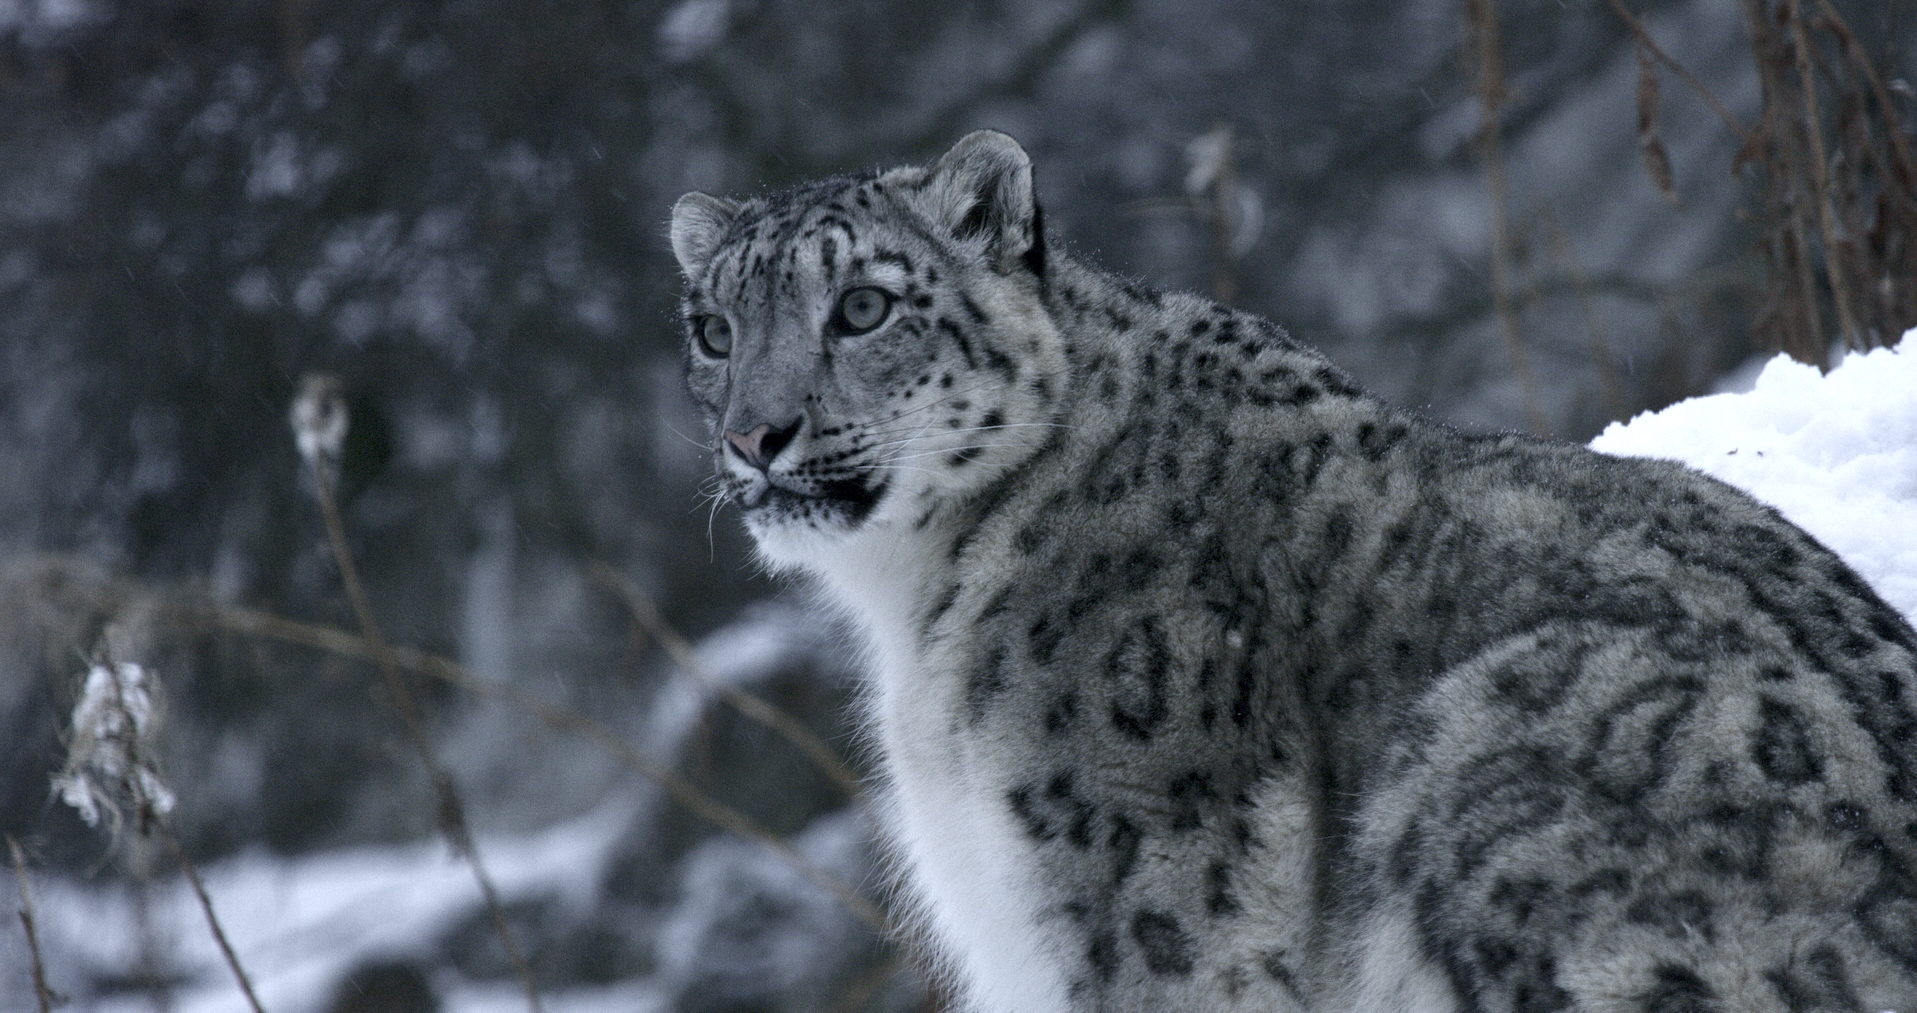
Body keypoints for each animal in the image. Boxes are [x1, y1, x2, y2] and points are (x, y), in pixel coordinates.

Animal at [674, 132, 1917, 1013]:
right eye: (713, 329)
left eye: (863, 305)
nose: (755, 436)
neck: (912, 601)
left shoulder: (1132, 886)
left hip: (1485, 773)